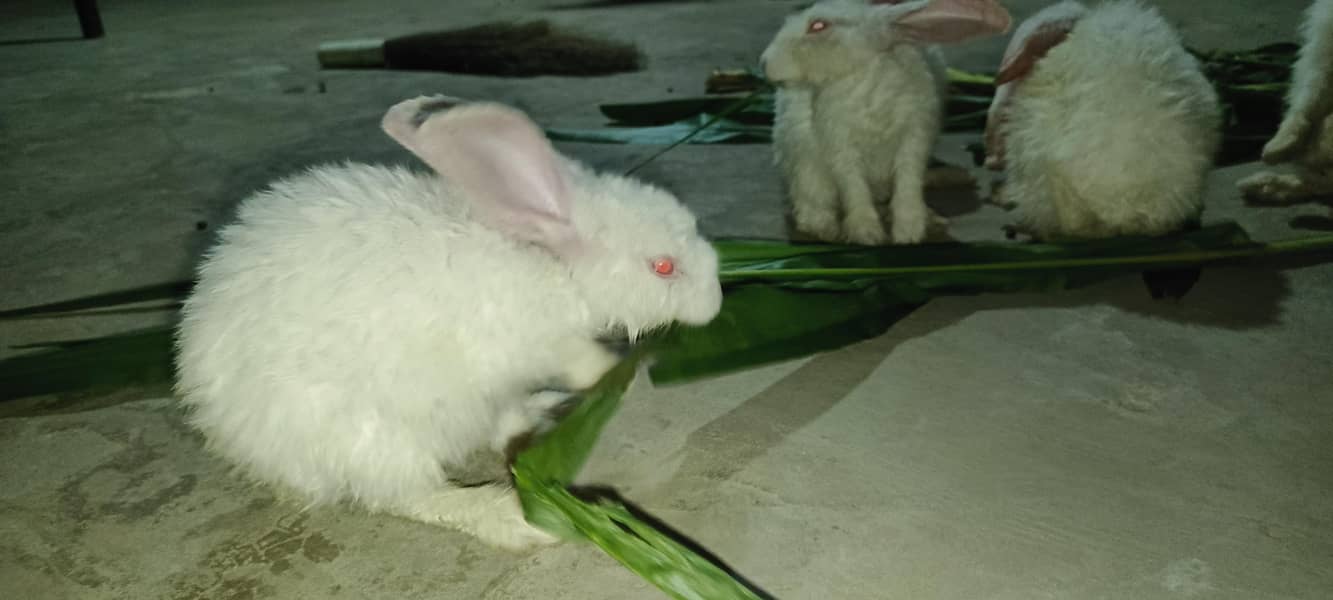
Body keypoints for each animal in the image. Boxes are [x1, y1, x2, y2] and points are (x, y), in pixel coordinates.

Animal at [173, 95, 724, 552]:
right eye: (663, 266)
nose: (716, 302)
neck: (549, 265)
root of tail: (236, 440)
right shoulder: (541, 343)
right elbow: (585, 363)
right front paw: (622, 369)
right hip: (380, 438)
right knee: (414, 497)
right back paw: (518, 520)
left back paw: (542, 415)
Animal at [760, 0, 1013, 246]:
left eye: (818, 26)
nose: (764, 63)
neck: (865, 80)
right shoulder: (841, 149)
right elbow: (854, 189)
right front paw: (867, 233)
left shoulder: (914, 139)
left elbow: (908, 184)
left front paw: (909, 232)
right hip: (805, 168)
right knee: (812, 206)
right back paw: (826, 230)